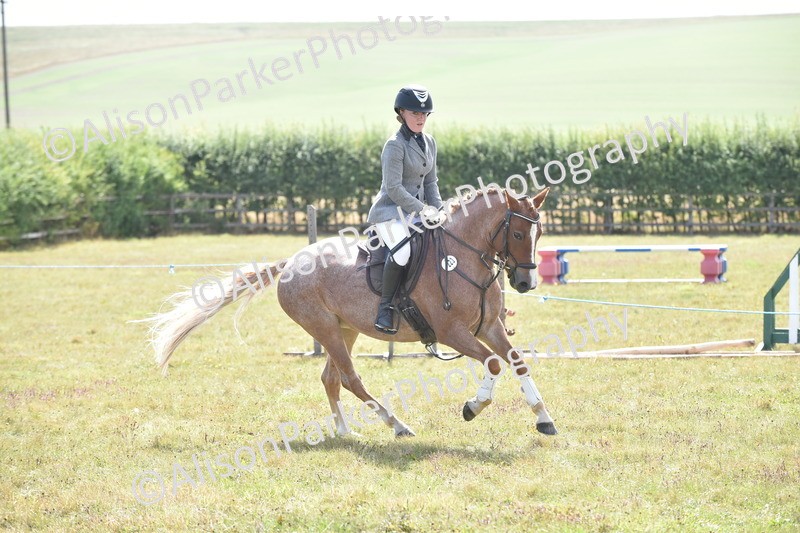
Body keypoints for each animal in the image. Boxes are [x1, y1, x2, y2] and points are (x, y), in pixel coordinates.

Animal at [142, 187, 558, 438]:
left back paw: (345, 430)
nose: (526, 283)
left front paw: (544, 419)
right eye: (517, 234)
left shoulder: (488, 328)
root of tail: (292, 261)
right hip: (324, 328)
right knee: (350, 379)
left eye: (539, 235)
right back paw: (397, 425)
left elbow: (517, 362)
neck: (462, 258)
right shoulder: (451, 333)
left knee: (330, 378)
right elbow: (493, 364)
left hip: (345, 329)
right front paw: (473, 407)